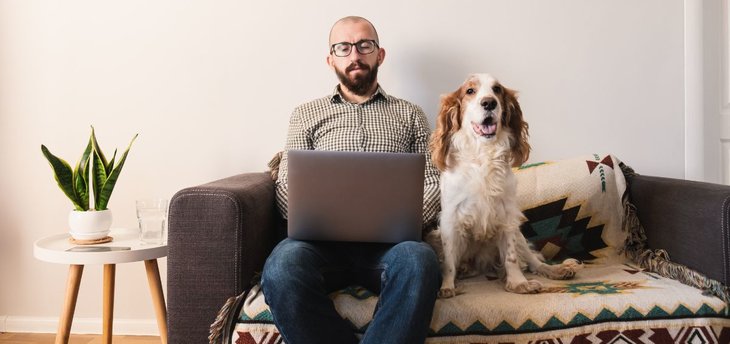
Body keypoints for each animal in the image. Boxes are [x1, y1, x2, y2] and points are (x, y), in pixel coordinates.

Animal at [426, 73, 580, 298]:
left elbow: (511, 257)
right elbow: (448, 262)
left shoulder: (507, 216)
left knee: (534, 262)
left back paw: (558, 270)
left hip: (519, 234)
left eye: (497, 89)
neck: (483, 155)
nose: (489, 102)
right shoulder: (451, 219)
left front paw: (518, 283)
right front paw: (447, 287)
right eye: (470, 91)